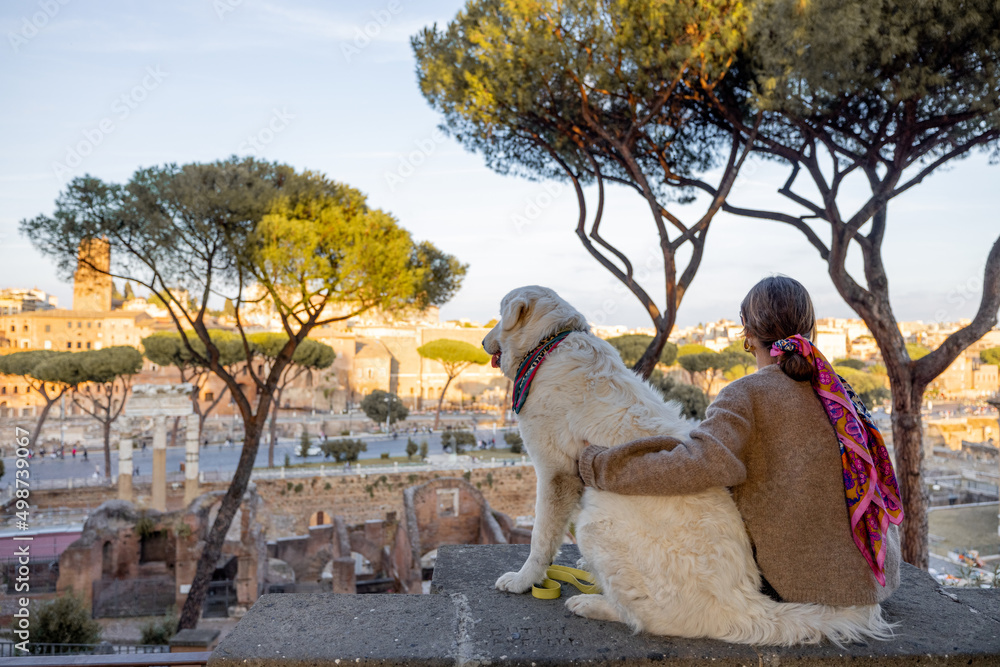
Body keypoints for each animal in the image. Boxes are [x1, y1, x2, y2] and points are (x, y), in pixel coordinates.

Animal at [484, 288, 892, 648]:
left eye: (501, 311)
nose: (485, 341)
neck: (550, 344)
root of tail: (744, 604)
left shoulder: (554, 472)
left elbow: (540, 540)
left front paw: (522, 581)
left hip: (596, 519)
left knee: (652, 618)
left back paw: (593, 603)